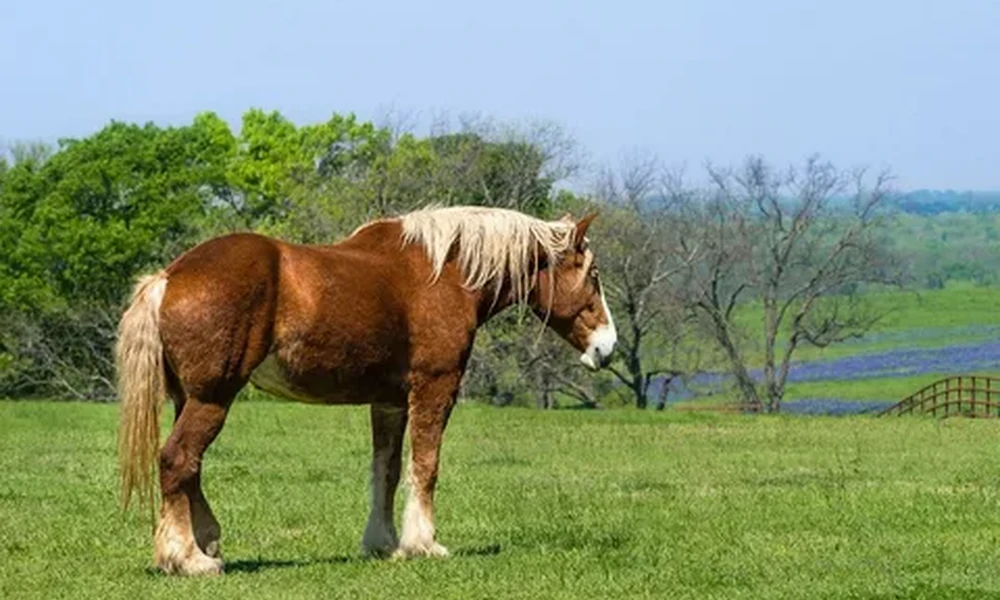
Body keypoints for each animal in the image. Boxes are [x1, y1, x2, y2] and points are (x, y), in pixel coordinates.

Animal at [115, 205, 618, 576]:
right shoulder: (435, 387)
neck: (446, 272)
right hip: (213, 398)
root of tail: (168, 277)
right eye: (593, 274)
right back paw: (188, 558)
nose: (607, 347)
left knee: (189, 468)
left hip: (189, 399)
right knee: (177, 460)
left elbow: (387, 471)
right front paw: (424, 544)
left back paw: (205, 545)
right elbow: (425, 466)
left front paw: (384, 543)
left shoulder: (389, 402)